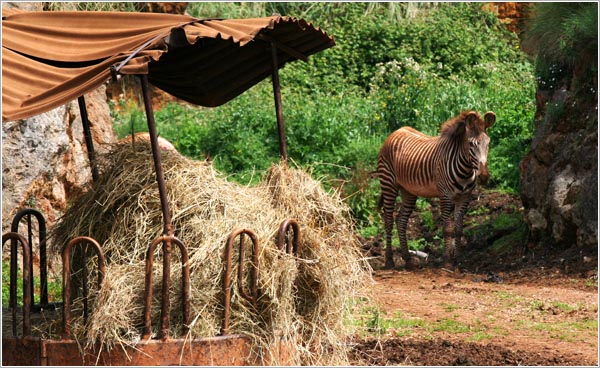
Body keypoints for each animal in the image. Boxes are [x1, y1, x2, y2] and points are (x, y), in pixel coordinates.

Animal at [376, 110, 496, 268]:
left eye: (488, 143)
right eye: (471, 144)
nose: (483, 176)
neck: (466, 170)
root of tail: (396, 131)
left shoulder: (465, 197)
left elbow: (458, 228)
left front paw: (458, 258)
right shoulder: (445, 196)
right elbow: (447, 229)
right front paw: (447, 260)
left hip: (408, 190)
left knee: (401, 220)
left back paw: (408, 259)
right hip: (389, 184)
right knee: (389, 220)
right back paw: (389, 260)